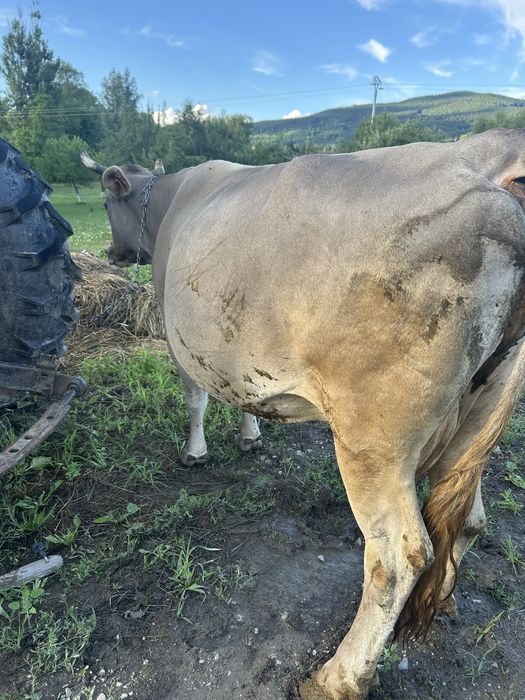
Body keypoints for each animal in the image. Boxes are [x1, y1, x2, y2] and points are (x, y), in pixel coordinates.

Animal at [81, 129, 525, 699]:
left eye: (104, 204)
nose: (111, 252)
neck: (171, 202)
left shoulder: (177, 334)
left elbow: (196, 398)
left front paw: (194, 451)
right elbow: (239, 394)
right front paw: (250, 435)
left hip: (373, 442)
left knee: (396, 557)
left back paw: (337, 678)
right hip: (477, 421)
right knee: (468, 521)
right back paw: (441, 602)